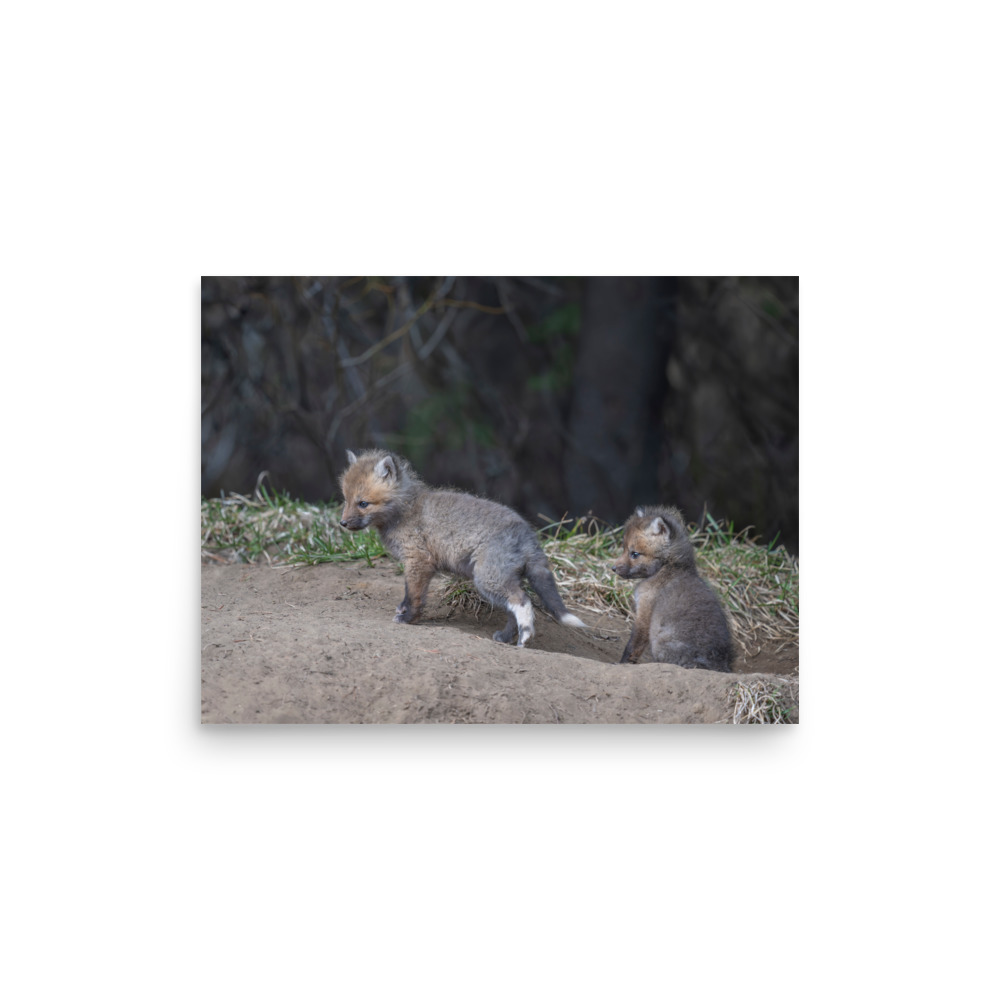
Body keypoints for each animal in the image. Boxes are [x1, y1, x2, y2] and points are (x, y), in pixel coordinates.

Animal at [338, 449, 585, 648]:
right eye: (346, 500)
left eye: (363, 503)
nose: (342, 523)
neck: (404, 510)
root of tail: (528, 534)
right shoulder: (418, 564)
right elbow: (411, 594)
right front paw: (405, 611)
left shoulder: (418, 560)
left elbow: (414, 595)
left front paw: (408, 619)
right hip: (498, 581)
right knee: (512, 610)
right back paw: (506, 638)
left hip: (488, 579)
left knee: (523, 601)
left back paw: (525, 637)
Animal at [612, 505, 732, 671]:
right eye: (624, 549)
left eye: (634, 554)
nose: (613, 568)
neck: (668, 567)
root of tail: (717, 665)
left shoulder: (644, 613)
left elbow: (632, 646)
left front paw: (622, 664)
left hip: (660, 643)